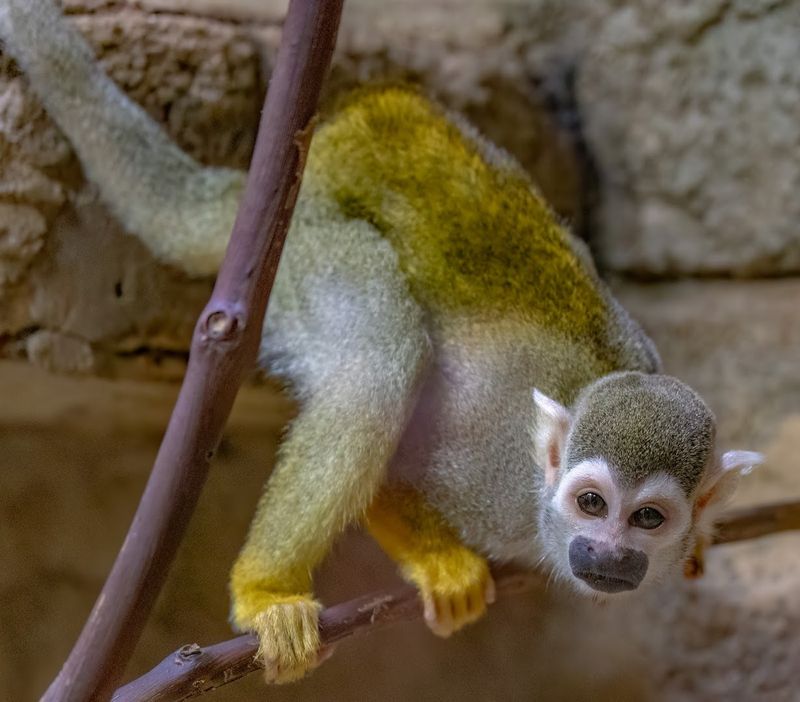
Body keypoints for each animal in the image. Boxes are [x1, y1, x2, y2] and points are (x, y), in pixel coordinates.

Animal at [0, 0, 762, 685]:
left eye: (649, 519)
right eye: (592, 505)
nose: (605, 553)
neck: (542, 510)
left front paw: (698, 546)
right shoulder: (496, 486)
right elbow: (392, 470)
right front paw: (439, 563)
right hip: (308, 260)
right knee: (379, 358)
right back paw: (265, 590)